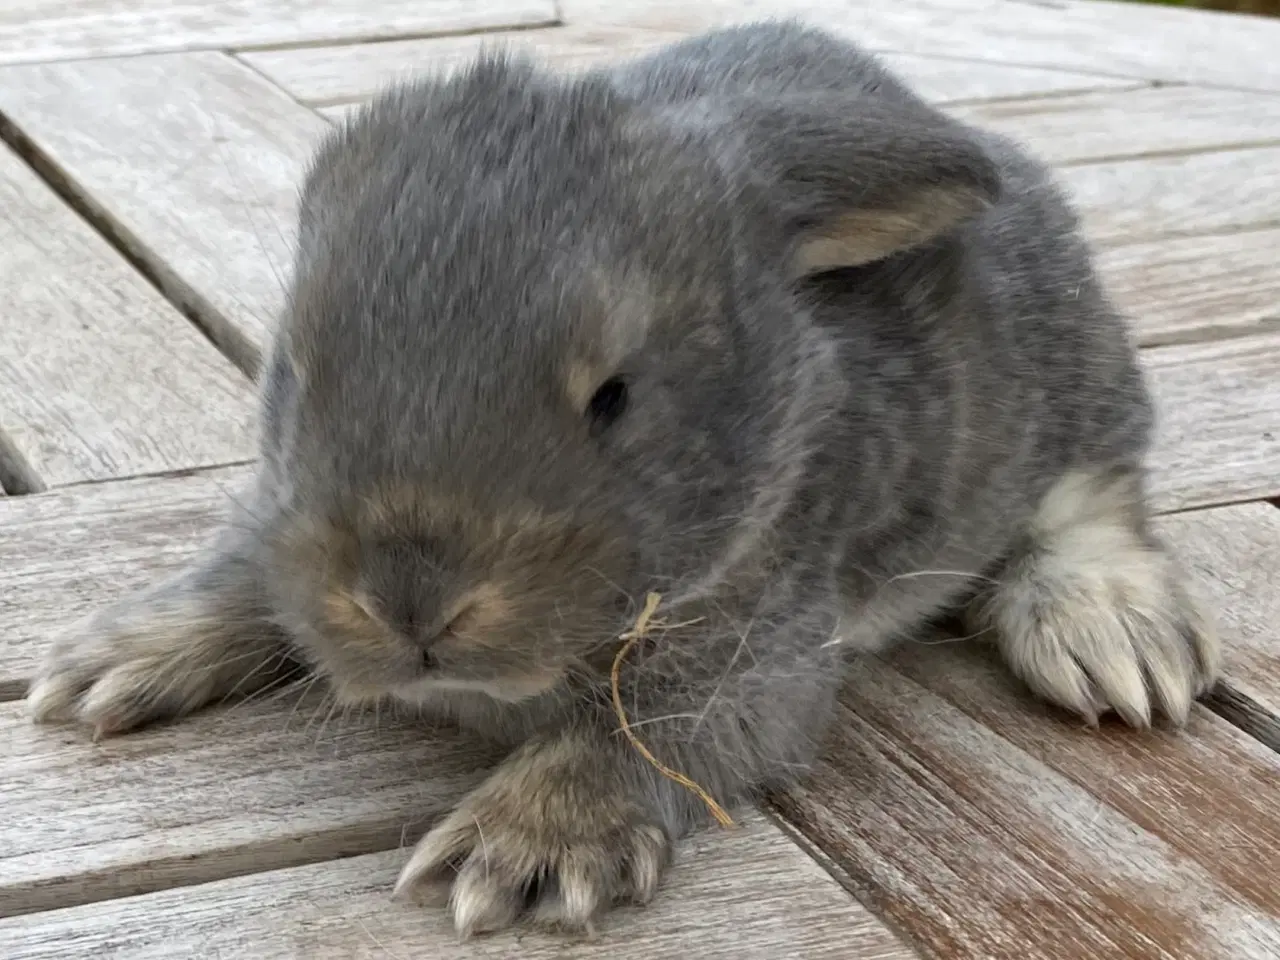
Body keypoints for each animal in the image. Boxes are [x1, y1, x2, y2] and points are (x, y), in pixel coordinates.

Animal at [24, 18, 1213, 942]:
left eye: (615, 397)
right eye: (297, 372)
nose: (410, 601)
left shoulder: (759, 665)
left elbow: (643, 733)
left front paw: (522, 848)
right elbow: (242, 566)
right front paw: (112, 659)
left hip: (1067, 393)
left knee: (1096, 497)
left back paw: (1110, 641)